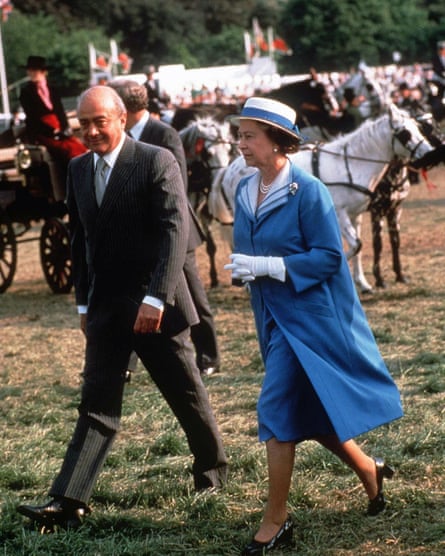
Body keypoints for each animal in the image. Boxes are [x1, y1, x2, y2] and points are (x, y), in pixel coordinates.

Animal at [219, 105, 434, 296]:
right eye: (404, 133)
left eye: (418, 127)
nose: (430, 154)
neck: (350, 164)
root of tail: (230, 168)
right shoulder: (340, 213)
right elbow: (355, 245)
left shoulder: (356, 215)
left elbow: (359, 247)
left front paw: (363, 283)